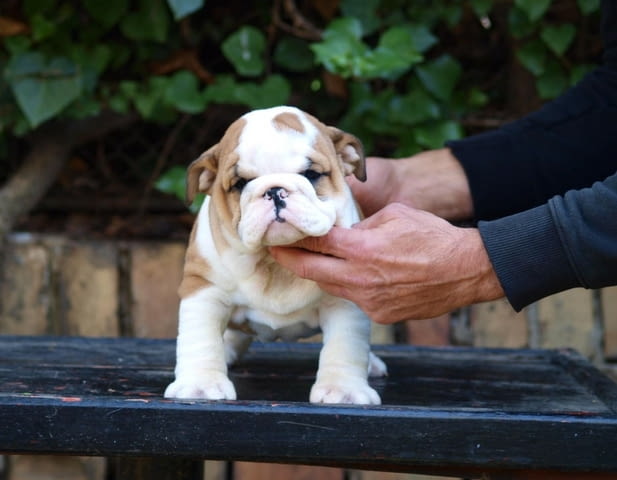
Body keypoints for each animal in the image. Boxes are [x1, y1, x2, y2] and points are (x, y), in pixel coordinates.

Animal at [164, 106, 384, 404]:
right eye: (241, 183)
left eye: (311, 174)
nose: (275, 190)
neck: (272, 263)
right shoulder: (203, 288)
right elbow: (200, 339)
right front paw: (200, 384)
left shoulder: (346, 296)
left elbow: (345, 345)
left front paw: (343, 390)